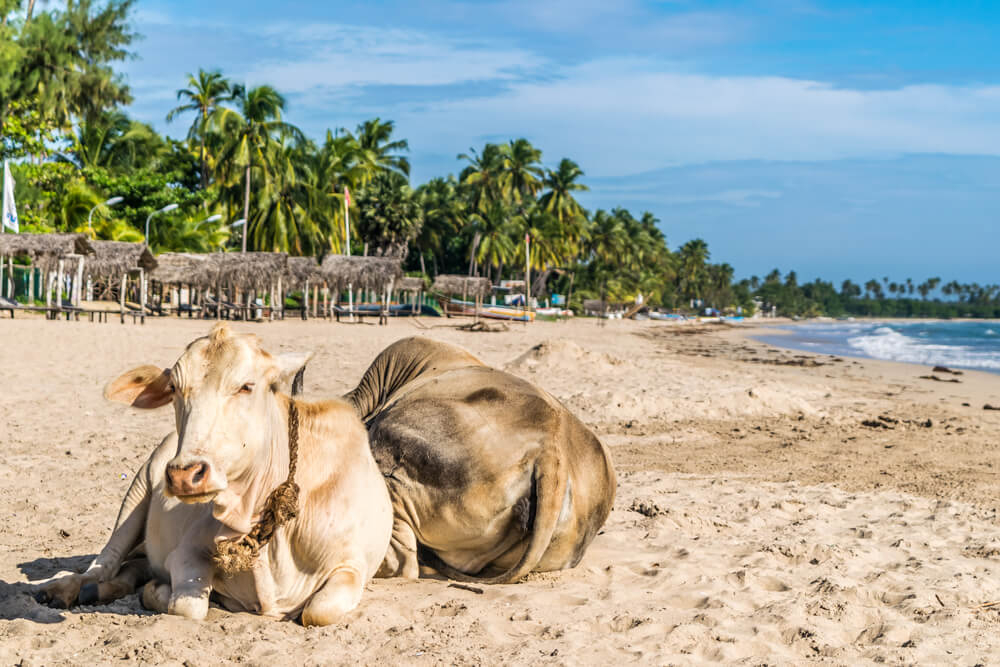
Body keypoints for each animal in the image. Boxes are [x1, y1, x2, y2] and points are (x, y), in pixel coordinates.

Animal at [34, 324, 390, 628]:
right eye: (174, 388)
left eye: (247, 386)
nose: (184, 474)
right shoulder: (186, 552)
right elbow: (187, 605)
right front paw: (157, 592)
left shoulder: (351, 566)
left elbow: (319, 611)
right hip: (137, 491)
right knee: (102, 564)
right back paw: (65, 588)